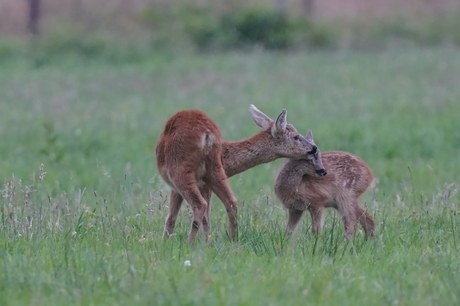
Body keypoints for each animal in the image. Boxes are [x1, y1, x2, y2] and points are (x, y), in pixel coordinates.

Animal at [156, 105, 318, 244]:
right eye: (296, 136)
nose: (314, 148)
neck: (225, 156)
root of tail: (207, 134)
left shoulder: (184, 186)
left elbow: (171, 218)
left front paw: (165, 243)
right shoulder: (204, 184)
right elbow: (204, 218)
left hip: (180, 171)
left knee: (200, 205)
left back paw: (189, 244)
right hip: (212, 170)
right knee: (230, 202)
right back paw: (232, 241)